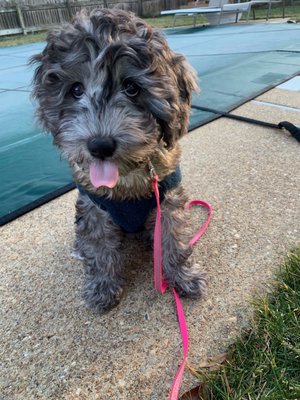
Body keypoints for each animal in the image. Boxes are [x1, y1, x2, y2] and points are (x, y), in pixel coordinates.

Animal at [32, 7, 206, 312]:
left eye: (132, 88)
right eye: (75, 90)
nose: (99, 145)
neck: (127, 176)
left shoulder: (167, 200)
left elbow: (173, 239)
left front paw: (182, 276)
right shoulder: (94, 207)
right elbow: (99, 248)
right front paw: (103, 287)